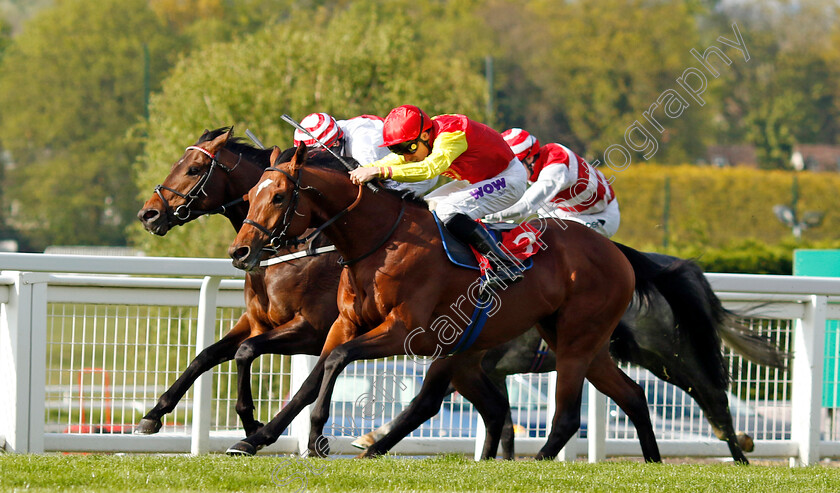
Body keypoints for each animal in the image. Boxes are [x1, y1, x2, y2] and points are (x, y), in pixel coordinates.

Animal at [135, 129, 338, 436]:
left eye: (194, 169)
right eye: (175, 165)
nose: (148, 214)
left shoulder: (311, 330)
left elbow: (246, 351)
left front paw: (250, 420)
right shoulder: (255, 322)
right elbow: (205, 355)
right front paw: (154, 412)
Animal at [226, 143, 668, 462]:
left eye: (279, 197)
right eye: (249, 194)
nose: (239, 251)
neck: (381, 240)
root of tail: (615, 251)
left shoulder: (404, 331)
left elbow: (336, 361)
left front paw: (317, 435)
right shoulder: (343, 323)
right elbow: (305, 379)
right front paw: (256, 436)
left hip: (574, 339)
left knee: (563, 416)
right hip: (567, 339)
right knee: (631, 394)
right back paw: (652, 461)